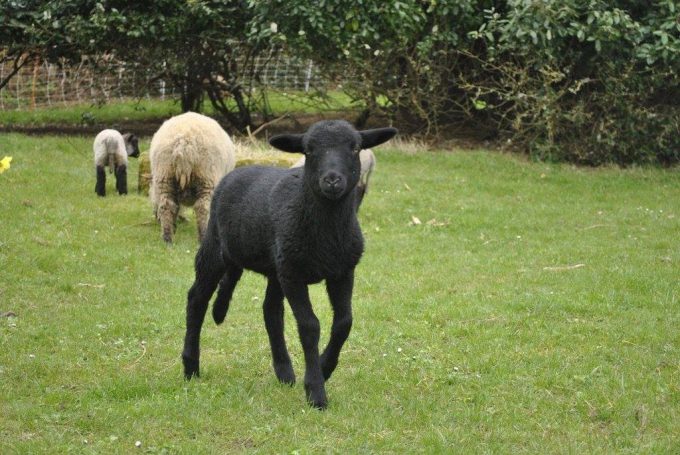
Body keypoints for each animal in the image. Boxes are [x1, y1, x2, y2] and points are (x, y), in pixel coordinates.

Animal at [149, 112, 236, 243]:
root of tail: (184, 142)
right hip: (207, 177)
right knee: (202, 207)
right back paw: (203, 236)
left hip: (164, 176)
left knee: (167, 205)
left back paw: (168, 238)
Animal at [181, 119, 397, 409]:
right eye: (309, 150)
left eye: (355, 147)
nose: (332, 180)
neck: (326, 231)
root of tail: (238, 171)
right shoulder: (294, 275)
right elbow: (309, 326)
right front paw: (316, 390)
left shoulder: (342, 271)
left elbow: (344, 322)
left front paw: (325, 367)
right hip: (216, 248)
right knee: (197, 299)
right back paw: (190, 366)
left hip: (276, 266)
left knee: (270, 311)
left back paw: (284, 372)